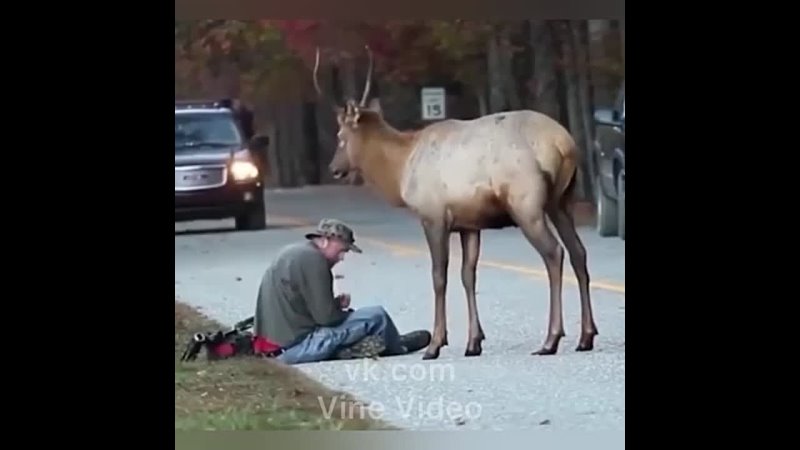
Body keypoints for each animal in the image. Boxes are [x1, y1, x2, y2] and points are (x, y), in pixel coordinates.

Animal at [316, 46, 596, 362]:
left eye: (341, 137)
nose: (334, 168)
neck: (400, 170)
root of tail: (564, 144)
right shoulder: (469, 224)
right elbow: (468, 275)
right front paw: (474, 342)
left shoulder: (433, 216)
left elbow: (439, 276)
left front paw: (436, 344)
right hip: (561, 201)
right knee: (578, 252)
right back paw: (586, 336)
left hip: (527, 204)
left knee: (554, 253)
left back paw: (551, 339)